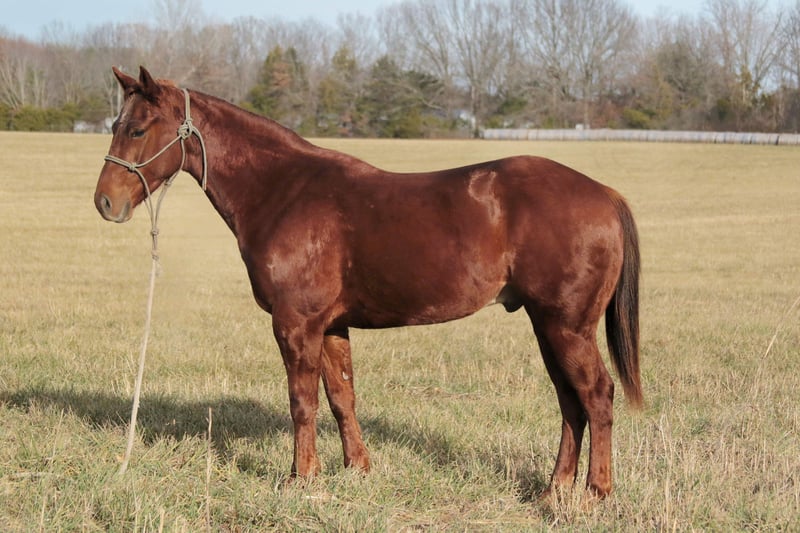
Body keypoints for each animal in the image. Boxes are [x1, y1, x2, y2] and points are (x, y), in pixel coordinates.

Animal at [94, 67, 642, 498]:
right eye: (116, 126)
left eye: (138, 129)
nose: (105, 202)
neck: (283, 191)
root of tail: (606, 194)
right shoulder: (332, 326)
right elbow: (341, 396)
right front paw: (356, 468)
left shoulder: (296, 324)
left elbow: (302, 401)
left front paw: (301, 478)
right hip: (549, 325)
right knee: (570, 400)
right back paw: (555, 489)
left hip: (566, 326)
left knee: (596, 394)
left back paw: (595, 492)